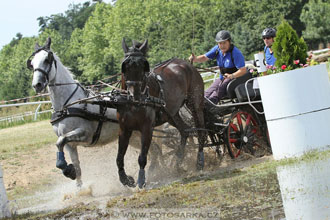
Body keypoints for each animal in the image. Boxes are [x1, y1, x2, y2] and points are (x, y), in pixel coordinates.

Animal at [29, 37, 161, 186]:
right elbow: (75, 165)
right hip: (133, 136)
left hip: (141, 131)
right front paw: (75, 179)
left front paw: (68, 170)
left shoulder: (84, 134)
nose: (37, 85)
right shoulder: (70, 145)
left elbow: (60, 141)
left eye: (47, 59)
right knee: (155, 150)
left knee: (156, 150)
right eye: (32, 64)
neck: (66, 105)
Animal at [118, 39, 206, 187]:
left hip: (195, 104)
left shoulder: (147, 128)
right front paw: (126, 179)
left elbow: (143, 156)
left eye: (144, 66)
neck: (133, 104)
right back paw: (178, 162)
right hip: (171, 114)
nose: (135, 95)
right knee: (185, 131)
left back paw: (199, 162)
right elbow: (119, 157)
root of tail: (187, 64)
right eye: (125, 66)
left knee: (201, 131)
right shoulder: (124, 129)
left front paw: (141, 180)